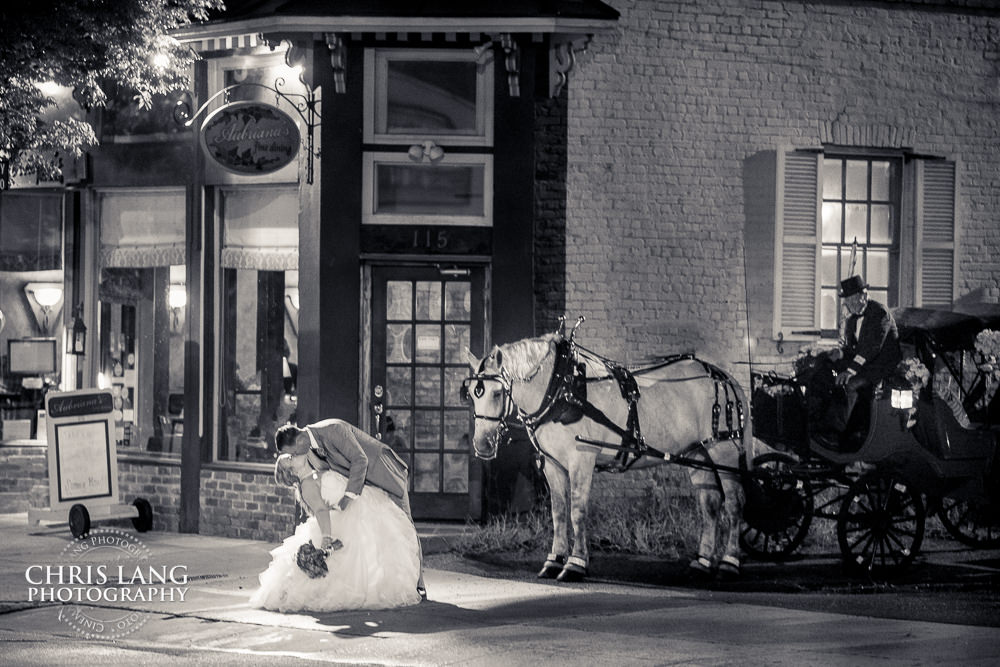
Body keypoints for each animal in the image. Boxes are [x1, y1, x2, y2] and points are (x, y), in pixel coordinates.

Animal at [464, 332, 752, 580]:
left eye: (497, 392)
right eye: (471, 395)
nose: (482, 444)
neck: (561, 387)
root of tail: (726, 378)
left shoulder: (581, 458)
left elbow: (577, 511)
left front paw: (575, 564)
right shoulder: (553, 464)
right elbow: (559, 512)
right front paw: (554, 560)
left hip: (723, 450)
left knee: (734, 503)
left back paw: (729, 562)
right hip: (697, 451)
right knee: (710, 504)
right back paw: (702, 562)